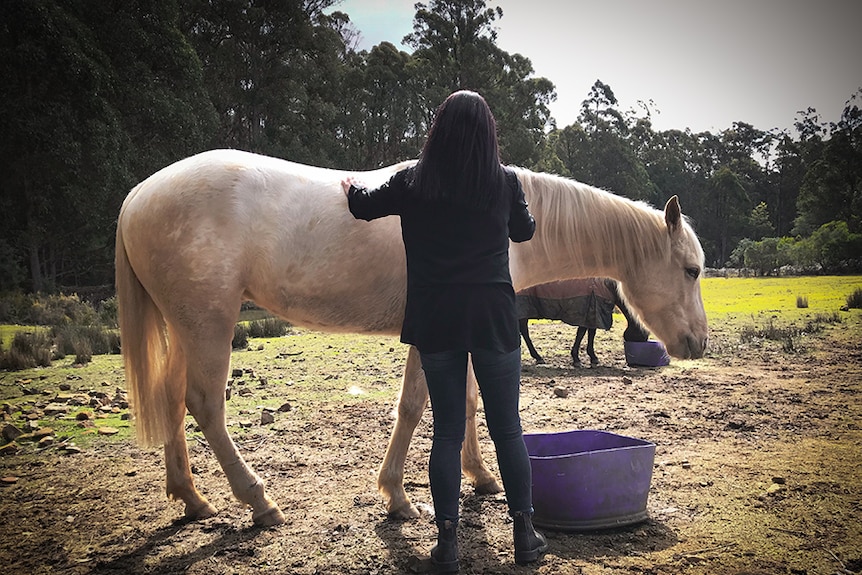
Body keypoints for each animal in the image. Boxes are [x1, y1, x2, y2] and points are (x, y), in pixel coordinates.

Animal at [516, 278, 652, 364]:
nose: (644, 339)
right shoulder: (589, 311)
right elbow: (581, 333)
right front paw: (577, 358)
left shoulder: (592, 313)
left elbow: (591, 333)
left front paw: (592, 356)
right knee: (525, 332)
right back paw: (538, 357)